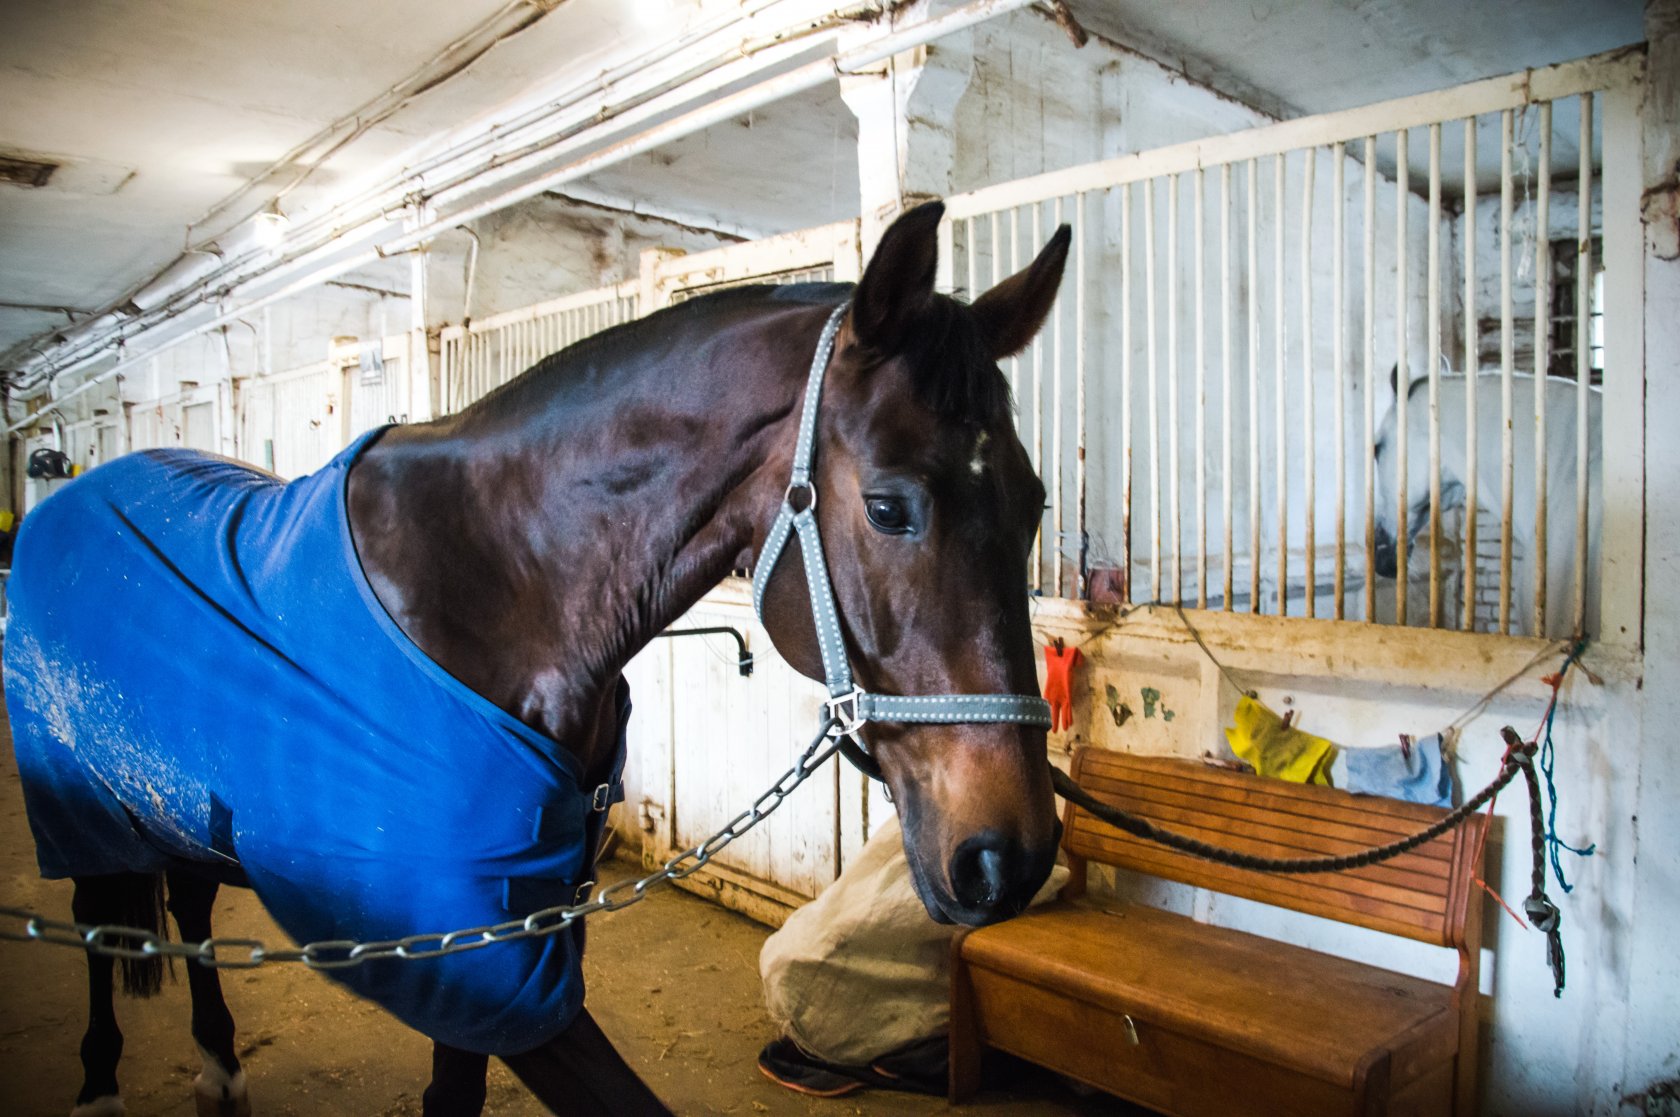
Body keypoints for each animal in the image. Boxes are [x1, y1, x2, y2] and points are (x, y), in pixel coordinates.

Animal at [0, 202, 1068, 1115]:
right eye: (888, 505)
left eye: (1035, 500)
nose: (1008, 856)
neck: (501, 593)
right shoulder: (470, 953)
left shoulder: (515, 928)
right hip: (85, 805)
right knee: (101, 922)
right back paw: (100, 1085)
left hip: (174, 799)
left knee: (182, 903)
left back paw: (220, 1069)